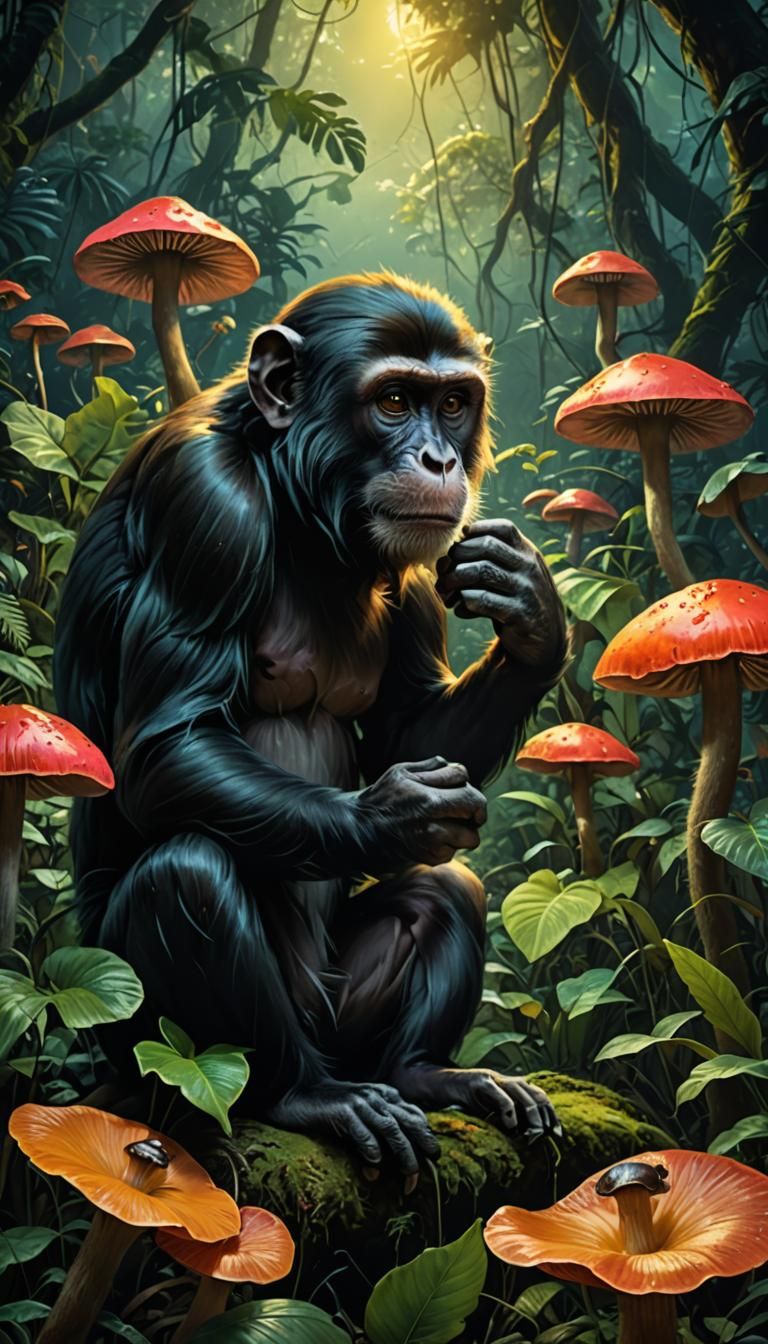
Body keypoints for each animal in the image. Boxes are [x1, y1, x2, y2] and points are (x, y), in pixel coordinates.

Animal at [54, 273, 568, 1183]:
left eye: (453, 403)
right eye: (394, 401)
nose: (439, 461)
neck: (294, 493)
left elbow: (409, 733)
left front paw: (532, 609)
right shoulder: (202, 506)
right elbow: (165, 745)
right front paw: (395, 814)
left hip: (346, 1018)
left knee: (447, 889)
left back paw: (429, 1073)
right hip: (147, 1038)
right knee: (188, 875)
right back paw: (304, 1097)